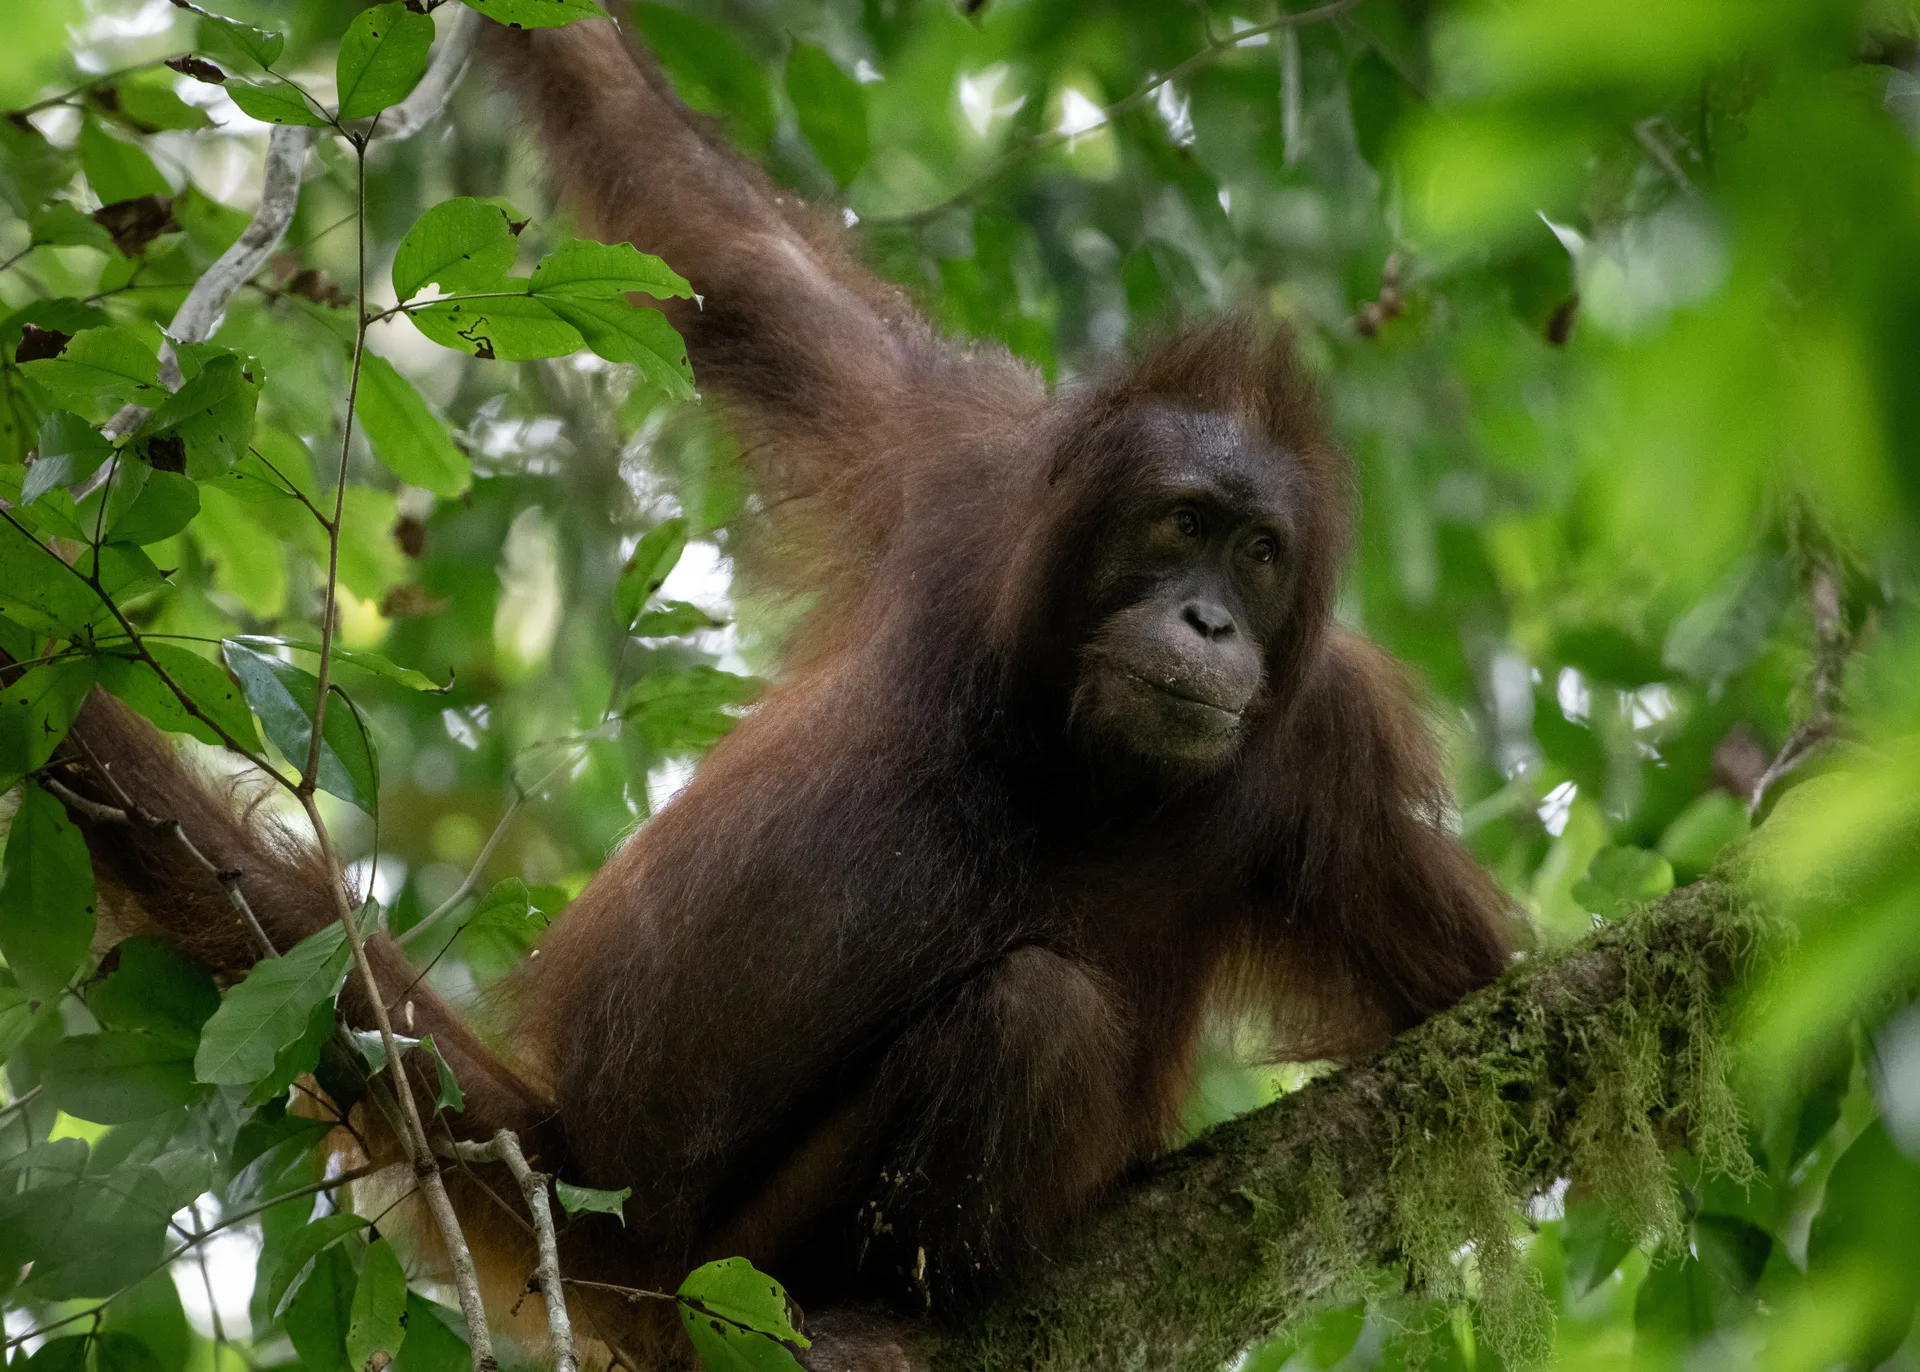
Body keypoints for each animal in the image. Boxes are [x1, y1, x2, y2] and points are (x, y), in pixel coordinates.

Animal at [31, 8, 1519, 1369]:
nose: (1210, 616)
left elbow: (1473, 1013)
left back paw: (879, 1310)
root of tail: (589, 1195)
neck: (1054, 740)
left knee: (1034, 1013)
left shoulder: (1332, 742)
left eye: (1261, 555)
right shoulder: (959, 458)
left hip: (739, 1257)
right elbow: (737, 257)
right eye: (1181, 524)